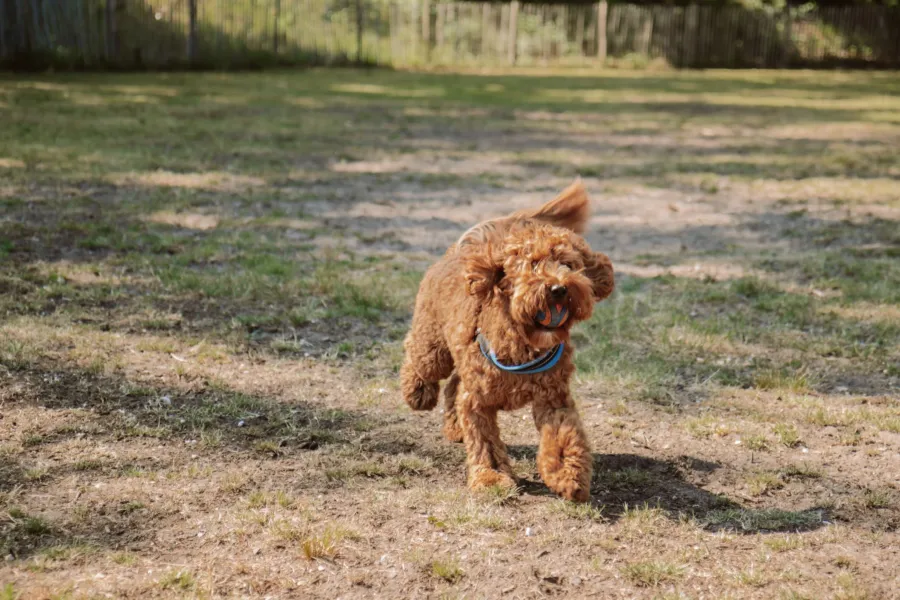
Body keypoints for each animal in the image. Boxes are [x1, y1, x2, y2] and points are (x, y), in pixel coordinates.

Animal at [404, 180, 616, 504]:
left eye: (569, 265)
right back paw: (417, 392)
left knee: (454, 386)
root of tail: (459, 250)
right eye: (532, 264)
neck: (523, 342)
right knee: (420, 358)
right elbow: (486, 443)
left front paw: (569, 475)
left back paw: (455, 427)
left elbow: (563, 437)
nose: (558, 288)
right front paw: (492, 478)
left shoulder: (553, 398)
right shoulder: (478, 403)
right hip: (433, 344)